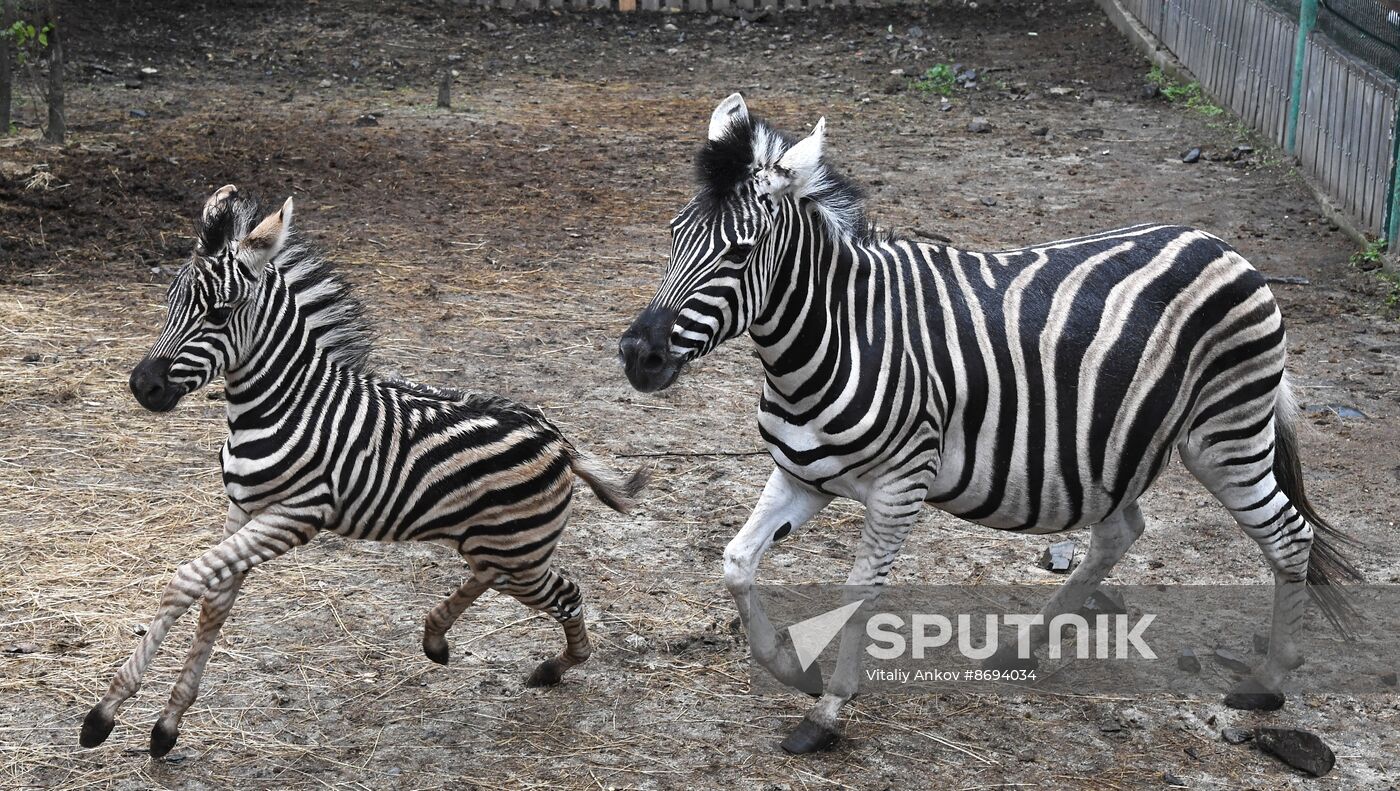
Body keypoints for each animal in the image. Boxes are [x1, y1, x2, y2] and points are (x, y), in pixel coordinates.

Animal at [86, 183, 649, 750]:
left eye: (220, 315)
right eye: (169, 302)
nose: (143, 386)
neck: (284, 402)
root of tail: (559, 438)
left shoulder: (293, 516)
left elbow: (185, 582)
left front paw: (106, 713)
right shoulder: (242, 509)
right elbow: (215, 604)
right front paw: (168, 723)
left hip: (520, 552)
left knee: (566, 594)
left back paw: (555, 667)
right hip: (498, 546)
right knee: (492, 574)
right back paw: (437, 637)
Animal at [621, 93, 1355, 750]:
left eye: (740, 254)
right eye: (673, 235)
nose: (637, 355)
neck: (836, 337)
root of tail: (1228, 249)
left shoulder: (900, 485)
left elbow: (861, 590)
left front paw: (828, 710)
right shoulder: (800, 473)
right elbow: (737, 562)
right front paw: (792, 668)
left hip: (1225, 437)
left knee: (1289, 536)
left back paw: (1267, 682)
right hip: (1116, 444)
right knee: (1120, 532)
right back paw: (1023, 647)